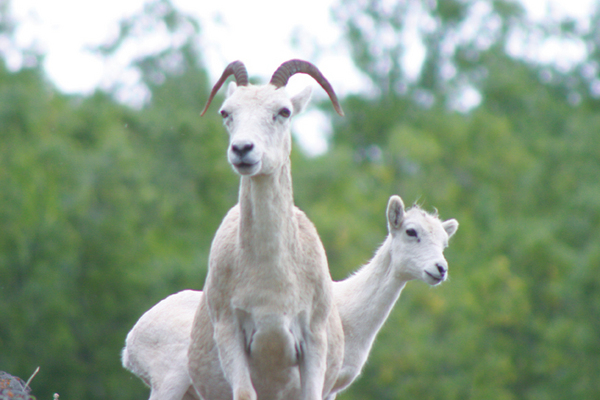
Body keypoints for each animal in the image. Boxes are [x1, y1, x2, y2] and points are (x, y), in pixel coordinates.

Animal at [122, 195, 460, 400]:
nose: (440, 269)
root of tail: (129, 344)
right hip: (169, 375)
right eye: (411, 232)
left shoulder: (330, 385)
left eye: (445, 243)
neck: (352, 316)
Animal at [188, 59, 346, 400]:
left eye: (283, 111)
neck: (271, 286)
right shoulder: (230, 333)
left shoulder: (314, 339)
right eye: (226, 112)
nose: (242, 149)